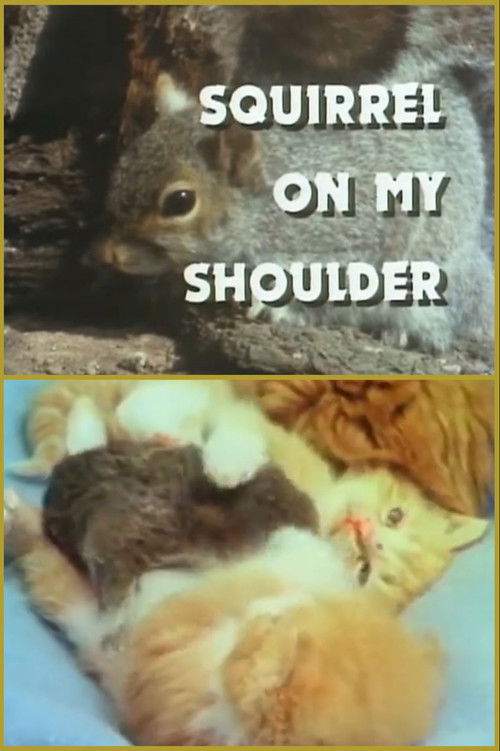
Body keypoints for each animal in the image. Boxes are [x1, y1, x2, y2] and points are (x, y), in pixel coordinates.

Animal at [94, 6, 493, 355]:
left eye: (180, 202)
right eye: (127, 159)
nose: (111, 254)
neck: (265, 205)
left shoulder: (357, 233)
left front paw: (280, 309)